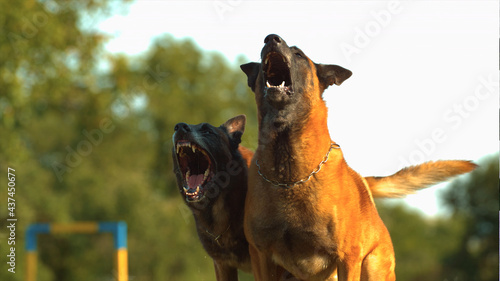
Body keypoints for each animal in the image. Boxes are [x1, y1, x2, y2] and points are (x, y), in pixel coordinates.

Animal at [240, 35, 474, 280]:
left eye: (298, 54)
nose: (271, 38)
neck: (288, 177)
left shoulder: (347, 257)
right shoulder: (261, 256)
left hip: (372, 266)